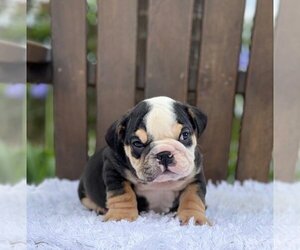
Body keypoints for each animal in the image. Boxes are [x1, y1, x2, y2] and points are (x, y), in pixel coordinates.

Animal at [78, 95, 210, 225]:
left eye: (185, 135)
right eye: (137, 143)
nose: (164, 154)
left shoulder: (194, 175)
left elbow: (193, 197)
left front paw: (193, 218)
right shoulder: (114, 170)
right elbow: (122, 194)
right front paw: (121, 217)